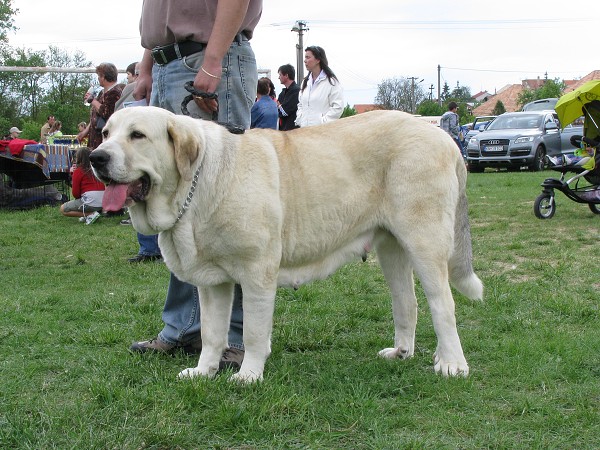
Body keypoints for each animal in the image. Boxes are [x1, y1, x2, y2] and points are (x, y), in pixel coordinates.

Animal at [90, 106, 482, 384]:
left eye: (137, 135)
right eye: (106, 133)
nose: (96, 157)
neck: (197, 185)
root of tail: (442, 137)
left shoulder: (256, 275)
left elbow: (252, 332)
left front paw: (248, 375)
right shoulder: (213, 283)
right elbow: (212, 333)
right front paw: (203, 372)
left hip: (424, 241)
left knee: (442, 304)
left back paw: (452, 364)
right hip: (392, 248)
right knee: (407, 302)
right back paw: (402, 352)